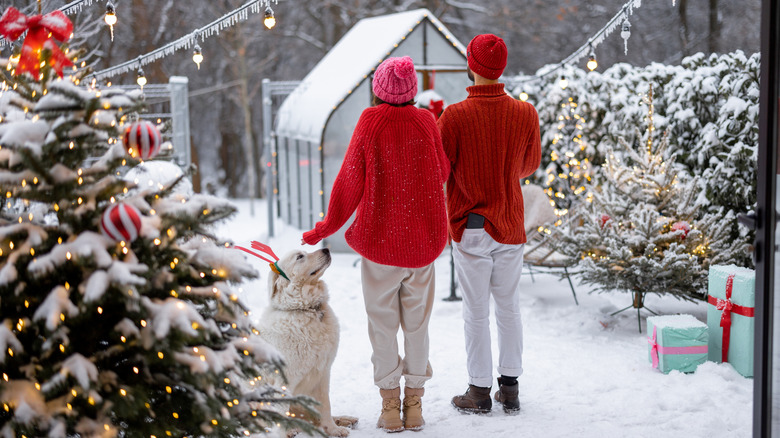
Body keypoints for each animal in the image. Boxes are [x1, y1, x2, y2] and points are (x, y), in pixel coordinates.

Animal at [258, 248, 356, 436]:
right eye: (300, 257)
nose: (326, 249)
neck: (306, 309)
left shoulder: (323, 373)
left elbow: (326, 405)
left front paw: (333, 429)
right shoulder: (284, 380)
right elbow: (281, 414)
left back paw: (346, 420)